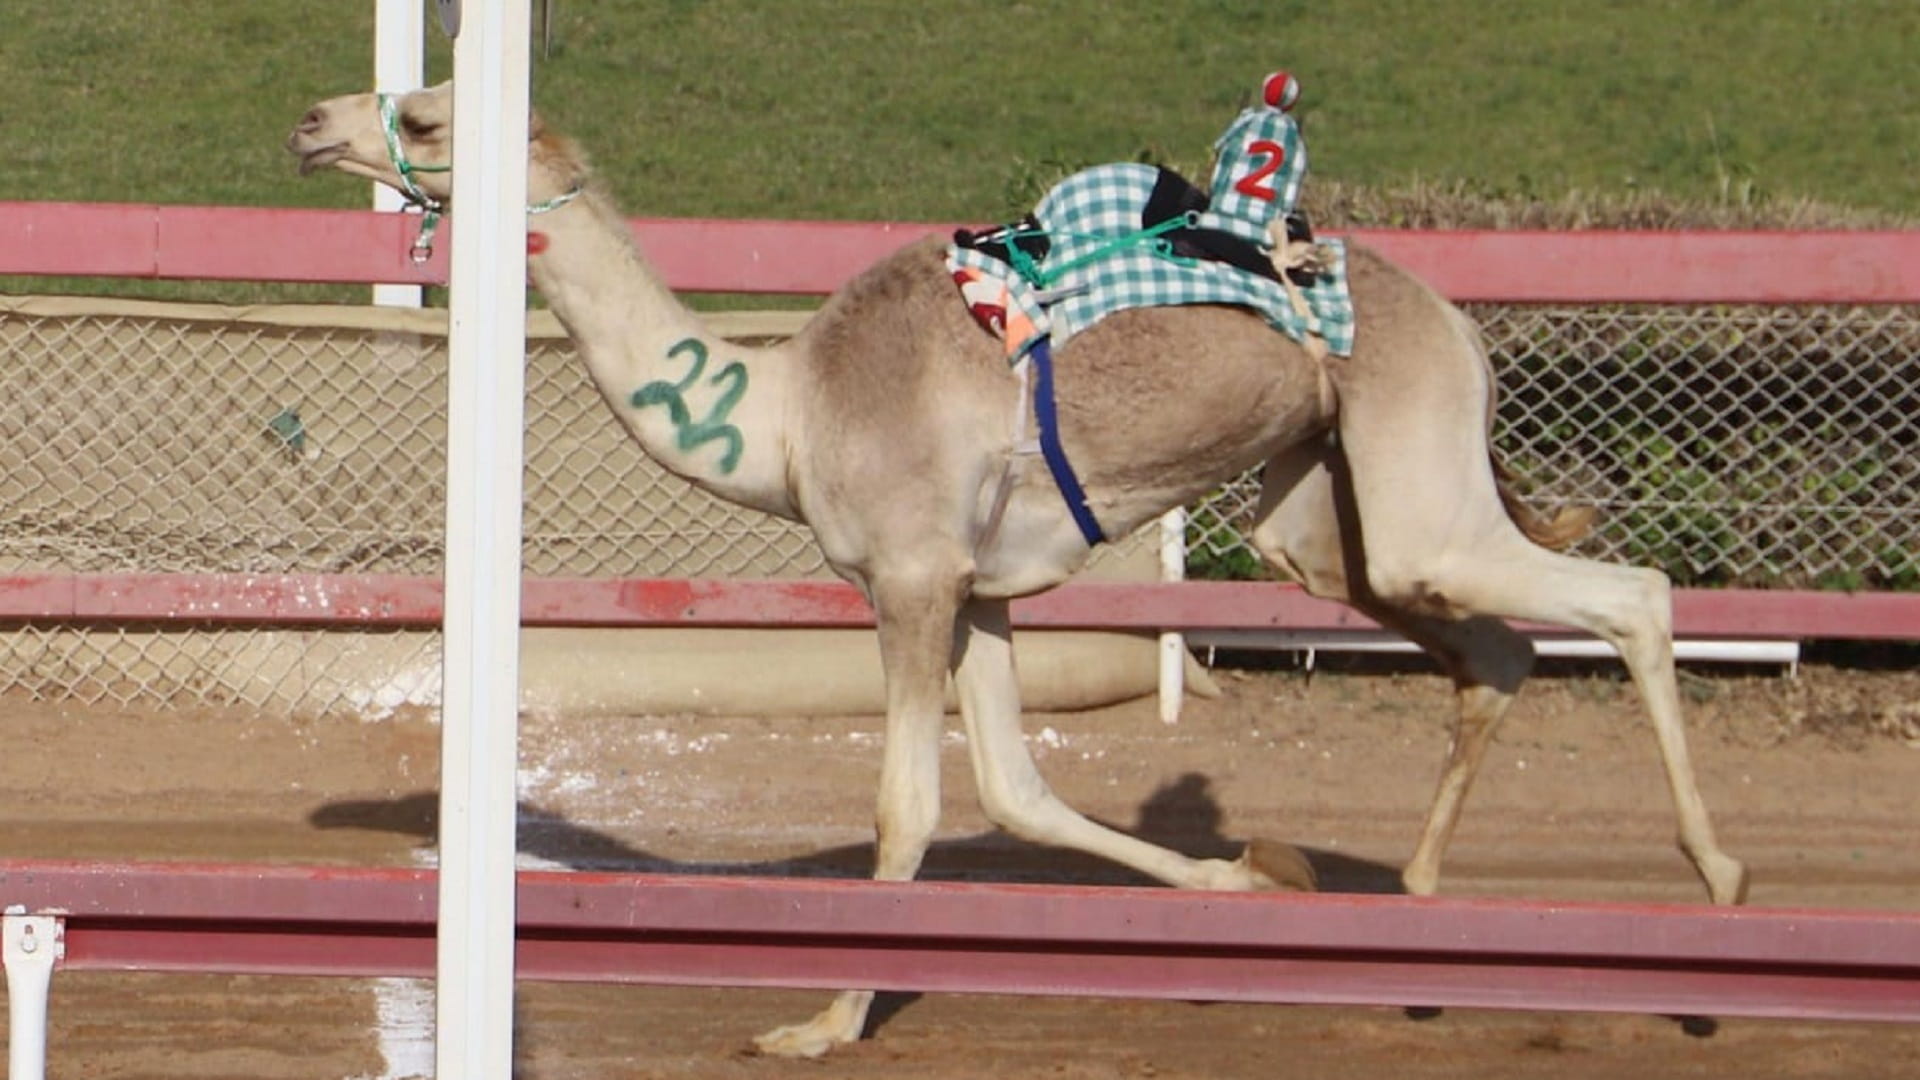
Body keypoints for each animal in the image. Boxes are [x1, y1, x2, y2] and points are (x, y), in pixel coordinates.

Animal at [288, 81, 1748, 1057]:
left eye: (424, 118)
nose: (313, 121)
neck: (792, 416)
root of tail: (1453, 311)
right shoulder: (980, 595)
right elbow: (1019, 794)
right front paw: (1253, 878)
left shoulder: (912, 579)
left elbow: (910, 808)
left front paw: (820, 1021)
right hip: (1325, 516)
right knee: (1487, 641)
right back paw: (1422, 916)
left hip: (1412, 462)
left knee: (1630, 598)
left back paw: (1721, 895)